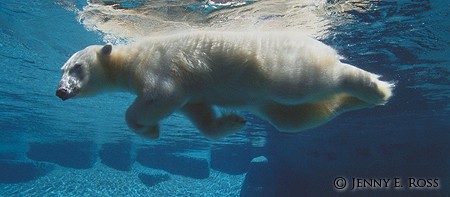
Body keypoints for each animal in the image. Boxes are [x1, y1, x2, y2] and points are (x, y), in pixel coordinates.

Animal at [56, 31, 394, 139]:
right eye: (61, 70)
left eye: (77, 67)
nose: (61, 91)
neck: (129, 57)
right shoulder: (192, 95)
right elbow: (200, 112)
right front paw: (233, 121)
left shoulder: (158, 68)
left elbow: (161, 95)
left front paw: (149, 129)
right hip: (267, 99)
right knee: (294, 118)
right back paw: (355, 101)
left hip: (273, 68)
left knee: (304, 84)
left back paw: (374, 87)